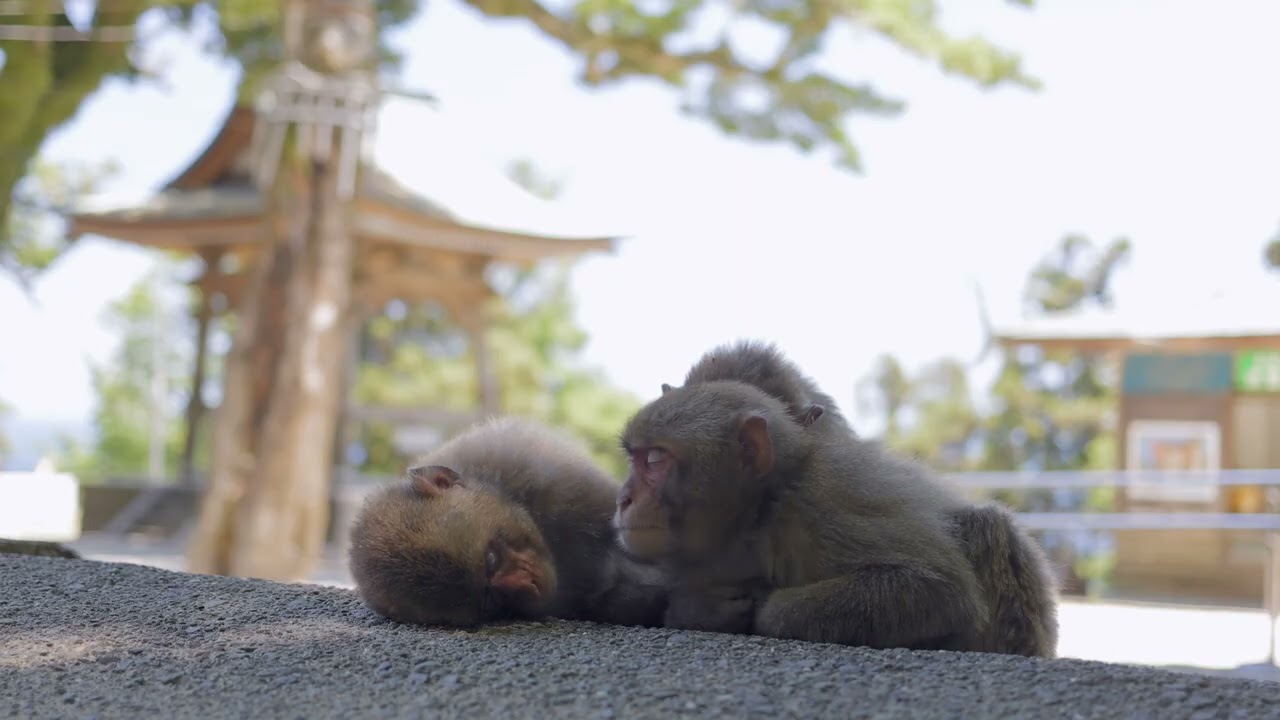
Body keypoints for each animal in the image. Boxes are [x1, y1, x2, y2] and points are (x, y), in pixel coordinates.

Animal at [617, 379, 1010, 654]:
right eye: (633, 458)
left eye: (655, 460)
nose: (623, 498)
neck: (757, 517)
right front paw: (700, 609)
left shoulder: (822, 503)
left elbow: (937, 588)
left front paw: (767, 609)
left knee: (985, 525)